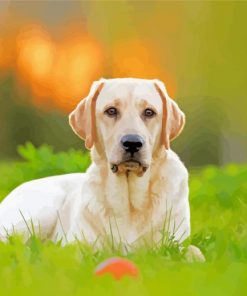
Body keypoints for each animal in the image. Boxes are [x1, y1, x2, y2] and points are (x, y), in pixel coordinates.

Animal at [0, 77, 205, 260]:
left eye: (149, 112)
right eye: (111, 111)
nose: (132, 143)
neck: (129, 202)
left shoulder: (175, 242)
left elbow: (194, 252)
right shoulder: (76, 243)